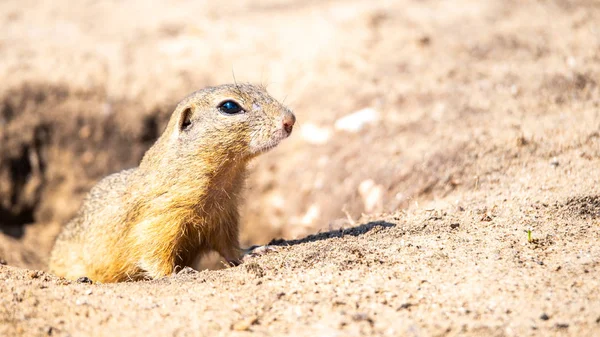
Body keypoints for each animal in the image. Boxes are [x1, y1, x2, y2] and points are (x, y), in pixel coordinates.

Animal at [49, 83, 296, 280]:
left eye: (263, 89)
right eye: (229, 106)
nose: (290, 120)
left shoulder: (225, 215)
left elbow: (230, 247)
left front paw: (256, 250)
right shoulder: (161, 218)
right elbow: (155, 253)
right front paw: (177, 273)